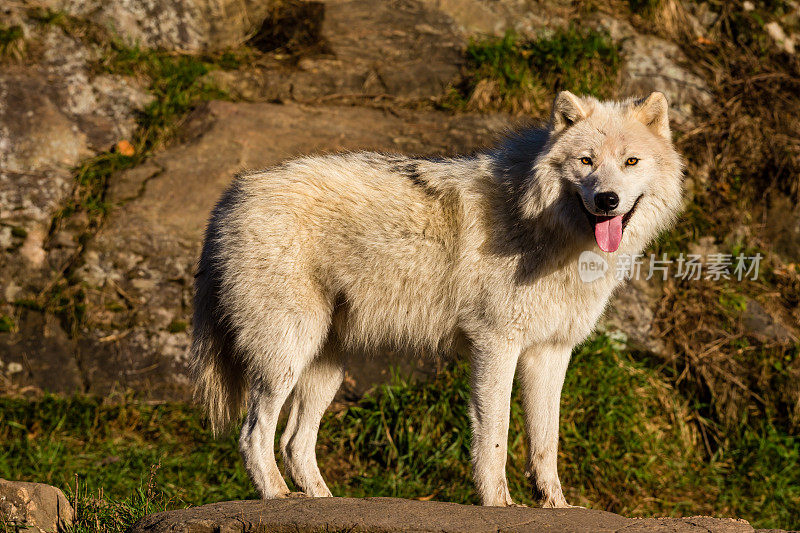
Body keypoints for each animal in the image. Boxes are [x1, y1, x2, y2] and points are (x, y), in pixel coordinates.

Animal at [191, 91, 684, 508]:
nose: (607, 199)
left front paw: (556, 506)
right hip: (287, 354)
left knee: (294, 443)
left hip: (326, 365)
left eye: (630, 161)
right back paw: (277, 497)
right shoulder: (495, 345)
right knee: (253, 434)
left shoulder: (550, 352)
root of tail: (230, 197)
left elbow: (547, 442)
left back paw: (324, 501)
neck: (545, 229)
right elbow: (496, 435)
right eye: (586, 161)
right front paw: (499, 504)